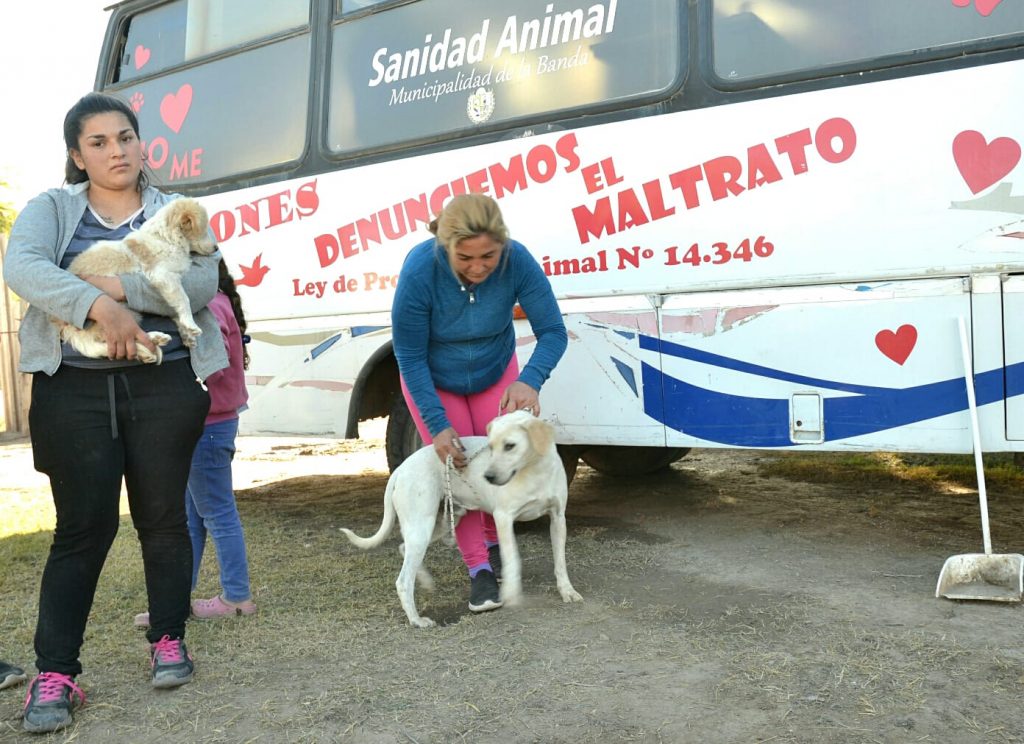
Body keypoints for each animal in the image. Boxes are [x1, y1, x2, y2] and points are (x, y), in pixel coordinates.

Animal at [56, 196, 216, 362]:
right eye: (204, 230)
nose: (216, 248)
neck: (166, 238)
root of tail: (65, 328)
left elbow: (174, 309)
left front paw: (187, 334)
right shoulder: (163, 275)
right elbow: (184, 299)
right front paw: (191, 324)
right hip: (116, 313)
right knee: (109, 338)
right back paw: (153, 339)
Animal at [342, 409, 585, 626]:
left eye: (510, 446)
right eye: (490, 446)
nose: (488, 477)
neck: (534, 471)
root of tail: (400, 469)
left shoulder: (558, 519)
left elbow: (560, 562)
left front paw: (567, 591)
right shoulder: (503, 519)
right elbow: (513, 560)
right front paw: (511, 593)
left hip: (438, 524)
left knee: (404, 548)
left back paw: (426, 581)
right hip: (422, 526)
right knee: (403, 581)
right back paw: (416, 620)